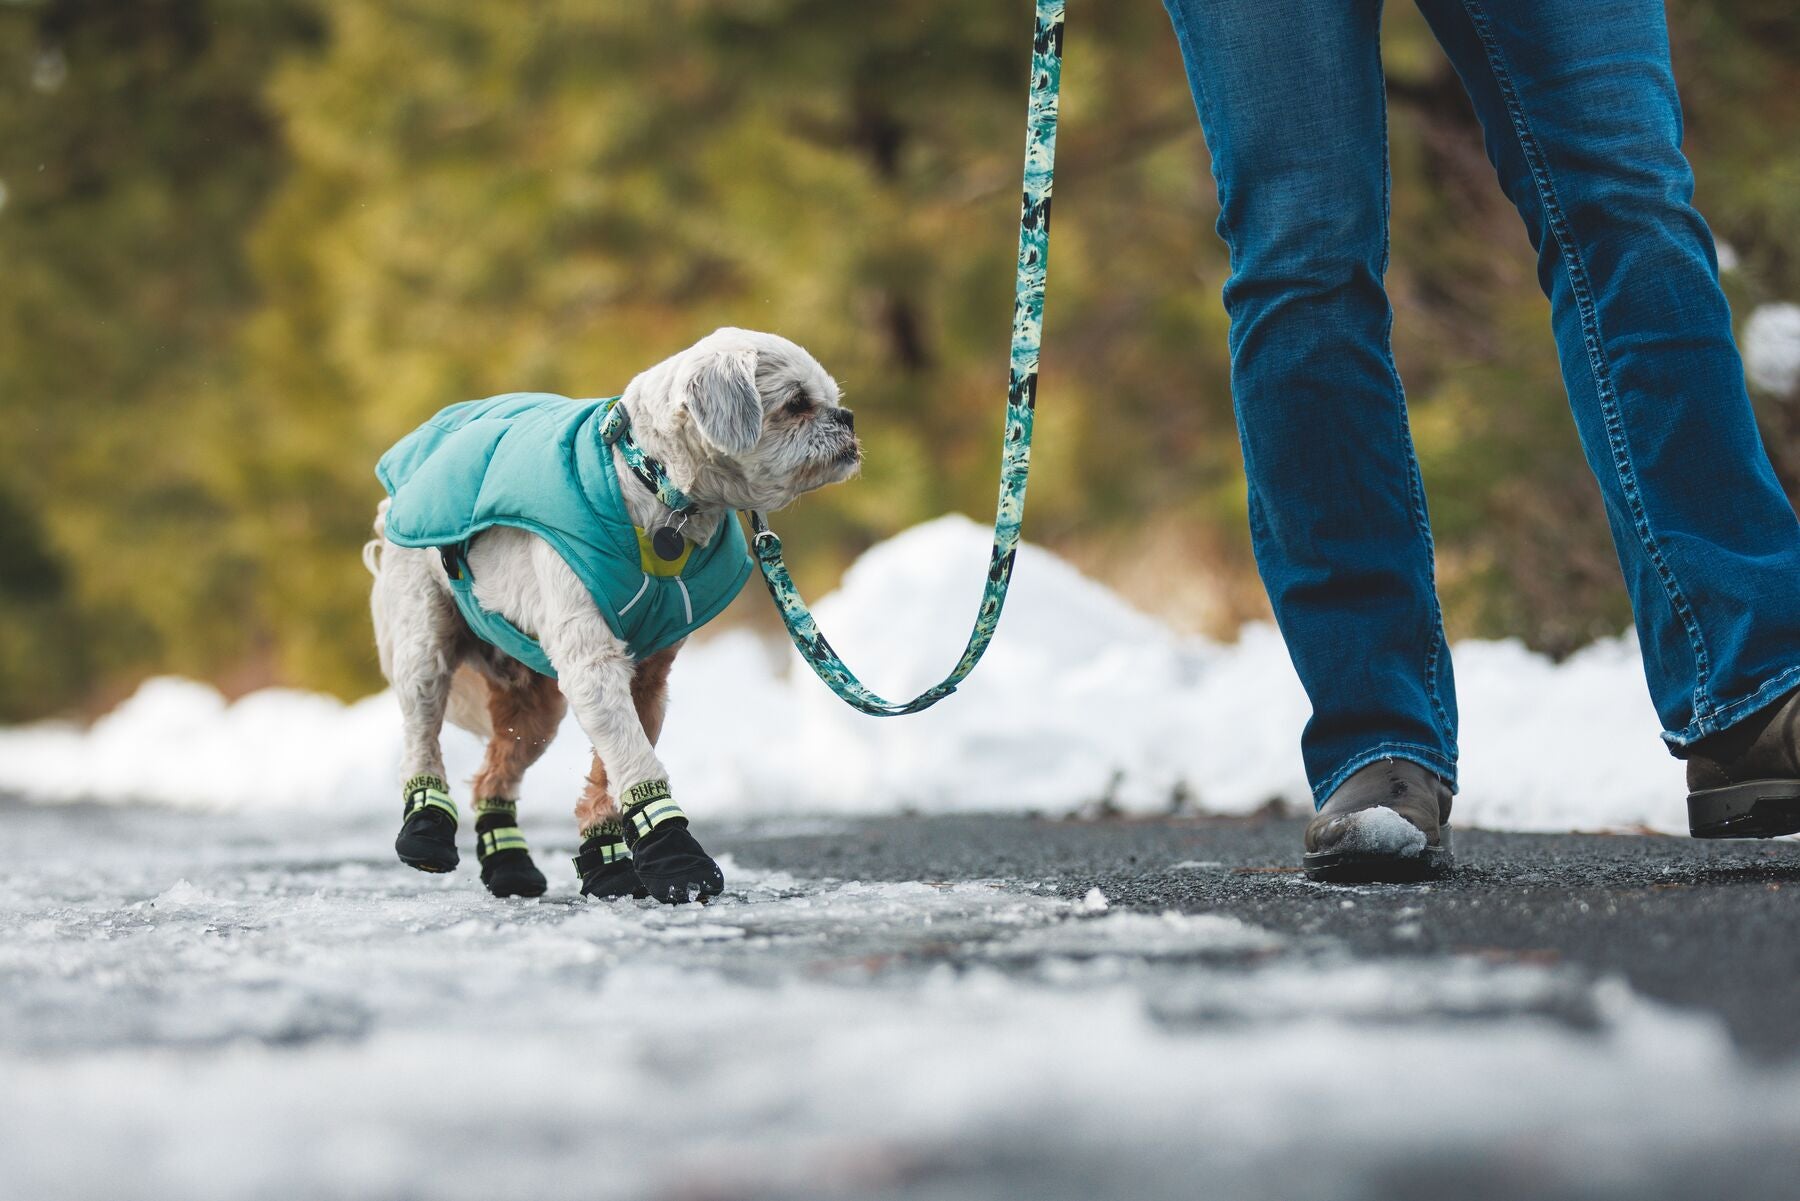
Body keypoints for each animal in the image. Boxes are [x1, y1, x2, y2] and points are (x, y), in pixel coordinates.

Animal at [363, 329, 856, 900]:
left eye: (831, 399)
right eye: (797, 403)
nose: (847, 418)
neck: (653, 487)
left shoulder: (646, 674)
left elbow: (611, 766)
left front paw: (611, 857)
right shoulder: (593, 663)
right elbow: (633, 756)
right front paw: (676, 856)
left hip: (535, 706)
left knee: (492, 776)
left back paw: (509, 861)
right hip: (425, 643)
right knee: (422, 729)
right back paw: (426, 826)